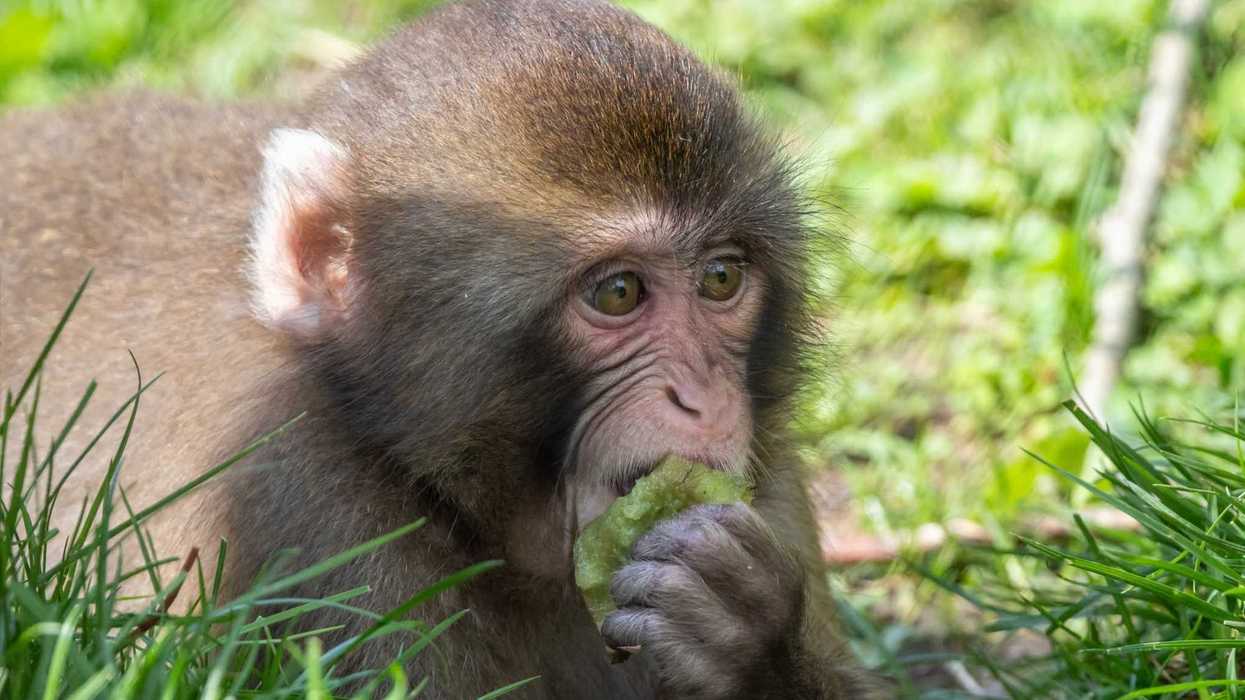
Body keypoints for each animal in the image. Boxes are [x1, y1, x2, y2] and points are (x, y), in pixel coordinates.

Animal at [0, 0, 879, 697]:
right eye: (618, 293)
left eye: (721, 278)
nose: (700, 395)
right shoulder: (313, 517)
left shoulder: (769, 482)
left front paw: (743, 633)